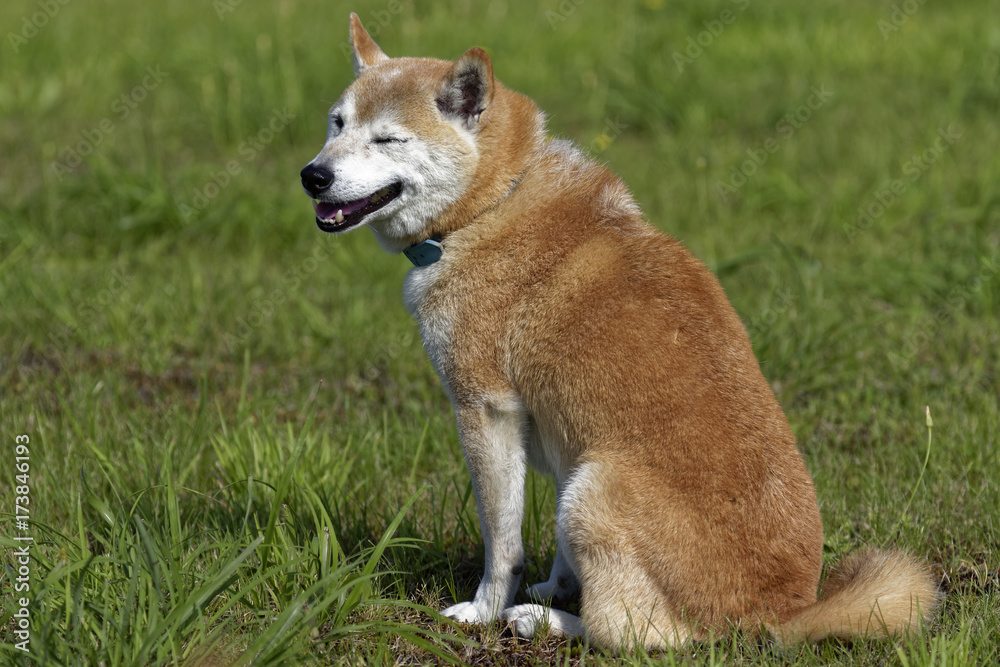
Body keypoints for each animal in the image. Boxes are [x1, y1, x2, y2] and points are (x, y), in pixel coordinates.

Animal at [300, 13, 940, 652]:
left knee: (635, 634)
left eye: (388, 139)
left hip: (594, 490)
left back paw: (544, 622)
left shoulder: (486, 410)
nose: (313, 175)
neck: (493, 203)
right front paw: (555, 587)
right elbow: (554, 554)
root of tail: (781, 614)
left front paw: (486, 610)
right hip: (584, 480)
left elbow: (503, 545)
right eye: (337, 123)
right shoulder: (559, 432)